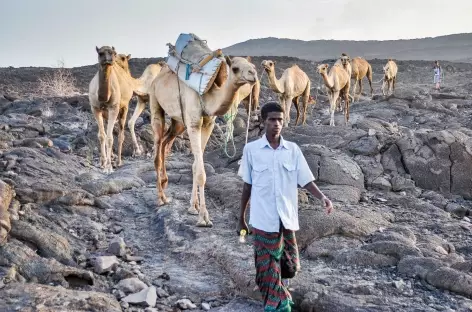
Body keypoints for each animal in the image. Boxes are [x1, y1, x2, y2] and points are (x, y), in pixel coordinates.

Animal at [148, 55, 256, 227]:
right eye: (235, 68)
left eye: (252, 66)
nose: (253, 74)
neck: (207, 96)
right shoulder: (194, 124)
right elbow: (200, 172)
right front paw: (204, 218)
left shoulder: (208, 124)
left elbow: (194, 165)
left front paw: (194, 206)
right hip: (155, 102)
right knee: (157, 150)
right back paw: (162, 198)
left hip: (179, 121)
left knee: (166, 142)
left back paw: (165, 182)